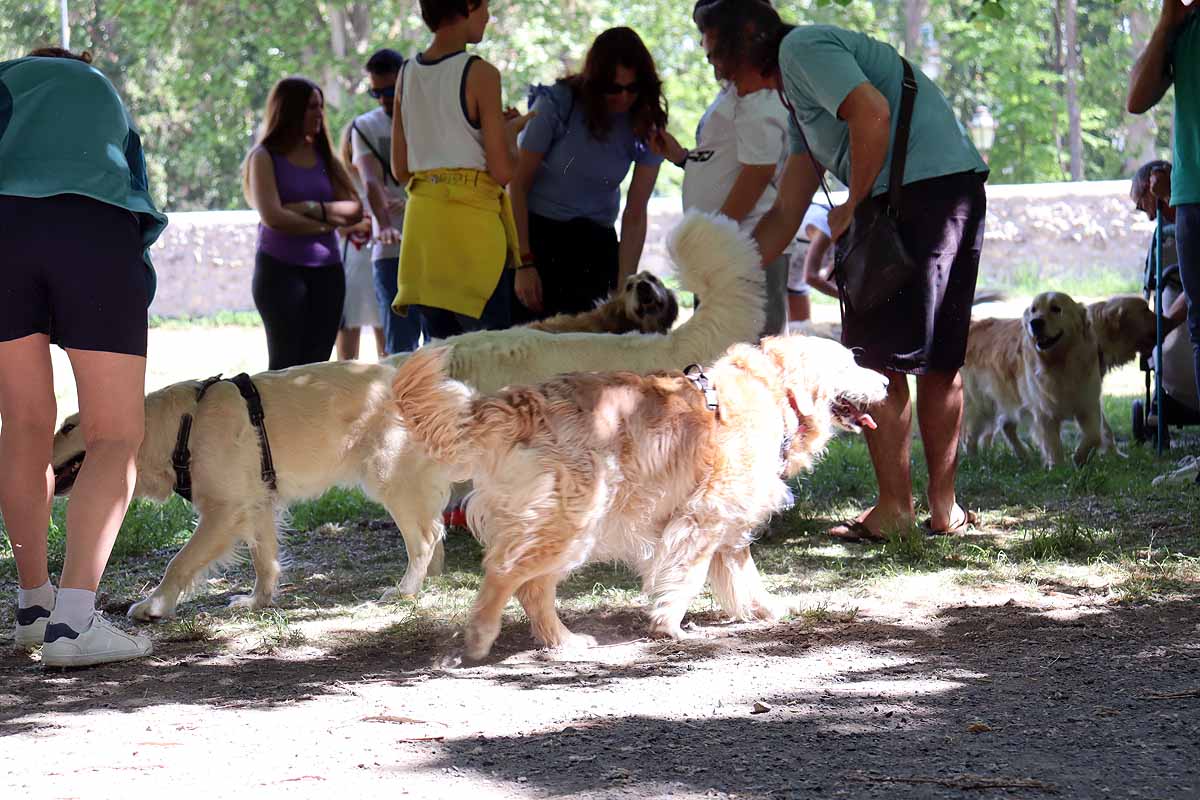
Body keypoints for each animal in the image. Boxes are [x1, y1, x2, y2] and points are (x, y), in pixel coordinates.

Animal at [388, 335, 888, 662]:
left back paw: (563, 641)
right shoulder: (702, 517)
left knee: (530, 587)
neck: (773, 391)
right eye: (848, 364)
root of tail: (517, 402)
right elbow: (687, 576)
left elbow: (743, 575)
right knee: (506, 573)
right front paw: (669, 625)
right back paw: (481, 636)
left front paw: (766, 610)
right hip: (573, 522)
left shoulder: (728, 525)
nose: (886, 381)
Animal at [960, 292, 1099, 470]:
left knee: (1005, 425)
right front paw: (1059, 469)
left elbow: (1094, 435)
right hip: (979, 404)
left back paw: (1024, 456)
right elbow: (1053, 446)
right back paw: (976, 463)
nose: (1035, 323)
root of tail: (974, 325)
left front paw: (1078, 459)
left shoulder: (1088, 404)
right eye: (1033, 310)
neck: (1060, 363)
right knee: (969, 438)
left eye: (1056, 309)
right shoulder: (1044, 413)